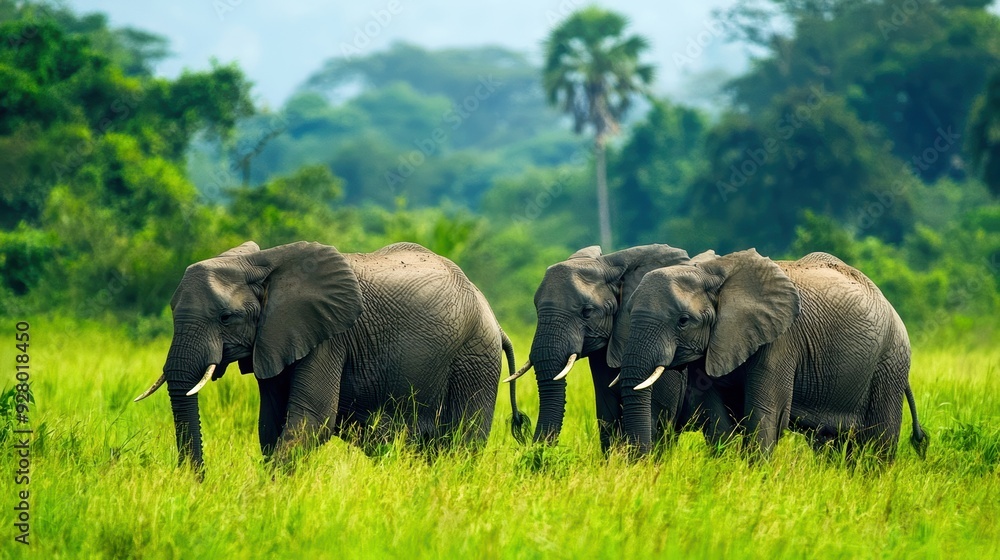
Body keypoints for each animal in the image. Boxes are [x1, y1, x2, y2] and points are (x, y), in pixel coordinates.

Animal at [134, 240, 527, 471]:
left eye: (226, 318)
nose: (199, 481)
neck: (260, 262)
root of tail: (494, 320)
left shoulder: (329, 337)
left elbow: (311, 419)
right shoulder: (275, 337)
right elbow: (271, 424)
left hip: (474, 355)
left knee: (461, 441)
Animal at [609, 249, 928, 461]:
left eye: (683, 321)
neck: (712, 271)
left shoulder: (780, 341)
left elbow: (765, 414)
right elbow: (716, 415)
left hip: (890, 363)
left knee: (878, 443)